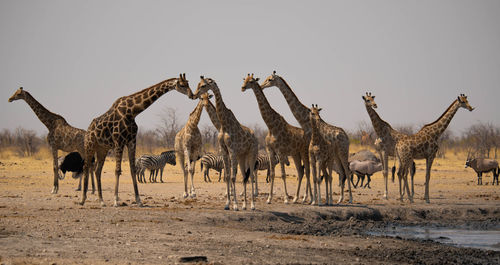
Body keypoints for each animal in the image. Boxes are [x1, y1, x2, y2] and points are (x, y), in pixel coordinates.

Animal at [80, 73, 191, 205]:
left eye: (188, 83)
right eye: (182, 85)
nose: (191, 95)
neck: (132, 112)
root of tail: (88, 129)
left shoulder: (132, 141)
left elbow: (133, 169)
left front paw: (139, 200)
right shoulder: (119, 142)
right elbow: (118, 170)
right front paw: (116, 200)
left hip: (102, 148)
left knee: (97, 170)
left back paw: (102, 201)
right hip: (89, 145)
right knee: (86, 167)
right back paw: (82, 199)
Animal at [191, 75, 258, 209]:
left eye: (203, 85)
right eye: (198, 84)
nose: (194, 95)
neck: (223, 124)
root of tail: (256, 138)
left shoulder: (232, 150)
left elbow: (232, 176)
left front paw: (235, 205)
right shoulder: (224, 150)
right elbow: (227, 176)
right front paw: (228, 204)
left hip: (252, 153)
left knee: (252, 175)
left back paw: (253, 205)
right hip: (242, 156)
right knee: (245, 176)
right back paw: (245, 205)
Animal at [241, 73, 310, 203]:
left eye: (251, 81)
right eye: (244, 80)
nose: (242, 88)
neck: (271, 126)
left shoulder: (280, 151)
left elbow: (283, 174)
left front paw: (286, 199)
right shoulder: (270, 150)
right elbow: (272, 173)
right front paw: (269, 198)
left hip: (304, 152)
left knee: (309, 171)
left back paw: (308, 198)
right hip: (296, 154)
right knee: (301, 172)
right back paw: (297, 198)